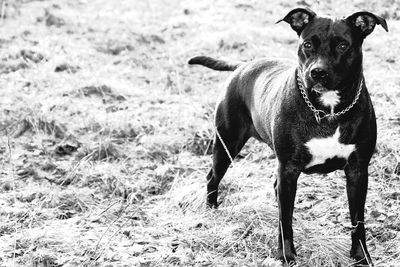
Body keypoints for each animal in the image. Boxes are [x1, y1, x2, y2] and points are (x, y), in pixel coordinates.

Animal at [189, 7, 390, 266]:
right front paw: (286, 254)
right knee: (213, 177)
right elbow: (285, 220)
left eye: (343, 45)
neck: (328, 111)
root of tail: (243, 66)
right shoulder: (288, 168)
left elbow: (358, 220)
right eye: (307, 44)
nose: (317, 72)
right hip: (226, 144)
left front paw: (361, 256)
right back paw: (211, 210)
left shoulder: (357, 171)